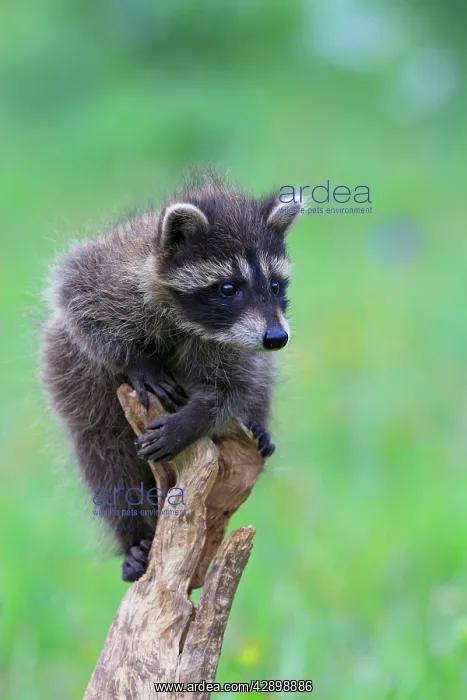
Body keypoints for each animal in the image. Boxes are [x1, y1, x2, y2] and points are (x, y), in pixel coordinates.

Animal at [42, 173, 299, 581]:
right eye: (229, 288)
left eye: (275, 286)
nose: (276, 338)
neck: (186, 319)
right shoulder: (110, 271)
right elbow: (75, 299)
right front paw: (136, 362)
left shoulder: (233, 344)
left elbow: (237, 386)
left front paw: (192, 420)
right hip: (75, 385)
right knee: (108, 467)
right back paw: (132, 536)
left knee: (260, 379)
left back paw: (257, 424)